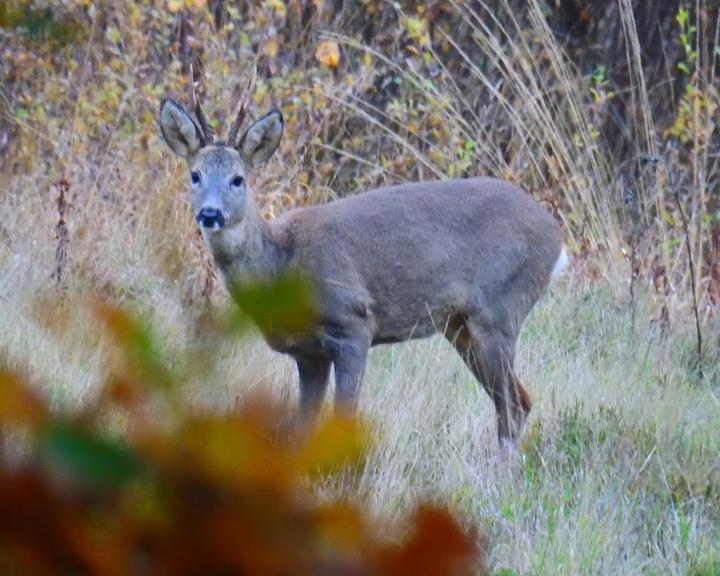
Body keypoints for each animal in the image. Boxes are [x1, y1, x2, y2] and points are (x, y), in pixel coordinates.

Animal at [159, 86, 568, 446]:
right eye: (194, 175)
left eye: (238, 179)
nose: (210, 214)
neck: (282, 260)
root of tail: (557, 236)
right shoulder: (308, 353)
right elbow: (302, 427)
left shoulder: (352, 323)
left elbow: (345, 418)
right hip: (460, 326)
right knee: (519, 400)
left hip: (499, 308)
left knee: (512, 406)